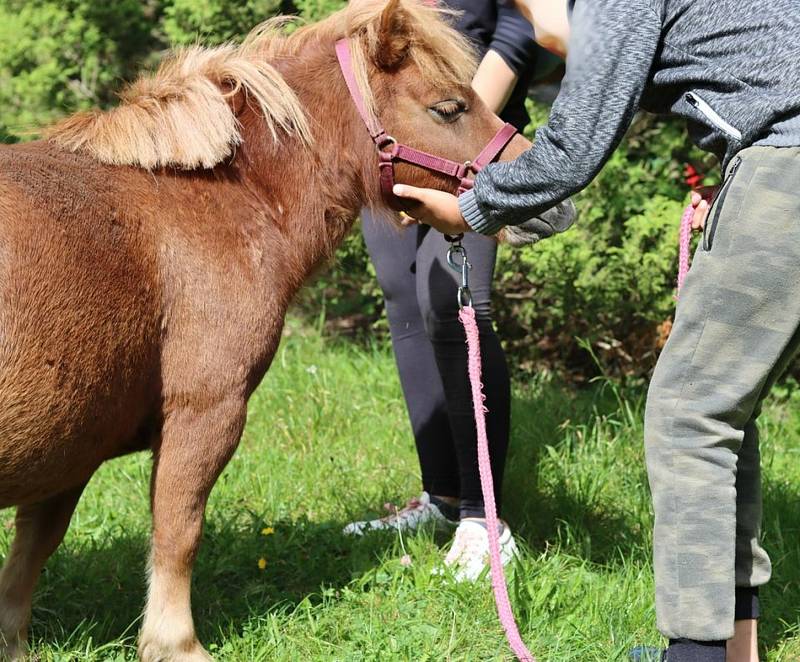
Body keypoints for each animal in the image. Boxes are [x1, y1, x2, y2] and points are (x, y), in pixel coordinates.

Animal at [0, 0, 532, 660]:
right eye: (449, 107)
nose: (548, 201)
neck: (208, 200)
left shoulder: (74, 443)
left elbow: (30, 553)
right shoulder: (205, 411)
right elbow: (177, 530)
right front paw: (175, 641)